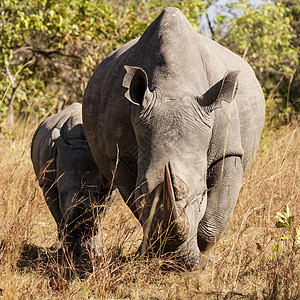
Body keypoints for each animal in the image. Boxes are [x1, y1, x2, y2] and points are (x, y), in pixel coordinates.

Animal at [31, 103, 106, 255]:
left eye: (96, 195)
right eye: (62, 195)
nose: (80, 229)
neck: (79, 140)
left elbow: (101, 214)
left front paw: (96, 250)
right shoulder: (47, 183)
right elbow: (58, 215)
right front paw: (67, 250)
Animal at [82, 7, 264, 270]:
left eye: (202, 194)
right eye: (142, 190)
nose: (173, 261)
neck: (173, 88)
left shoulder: (228, 149)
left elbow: (216, 217)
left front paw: (204, 262)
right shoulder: (121, 154)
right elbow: (139, 208)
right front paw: (147, 254)